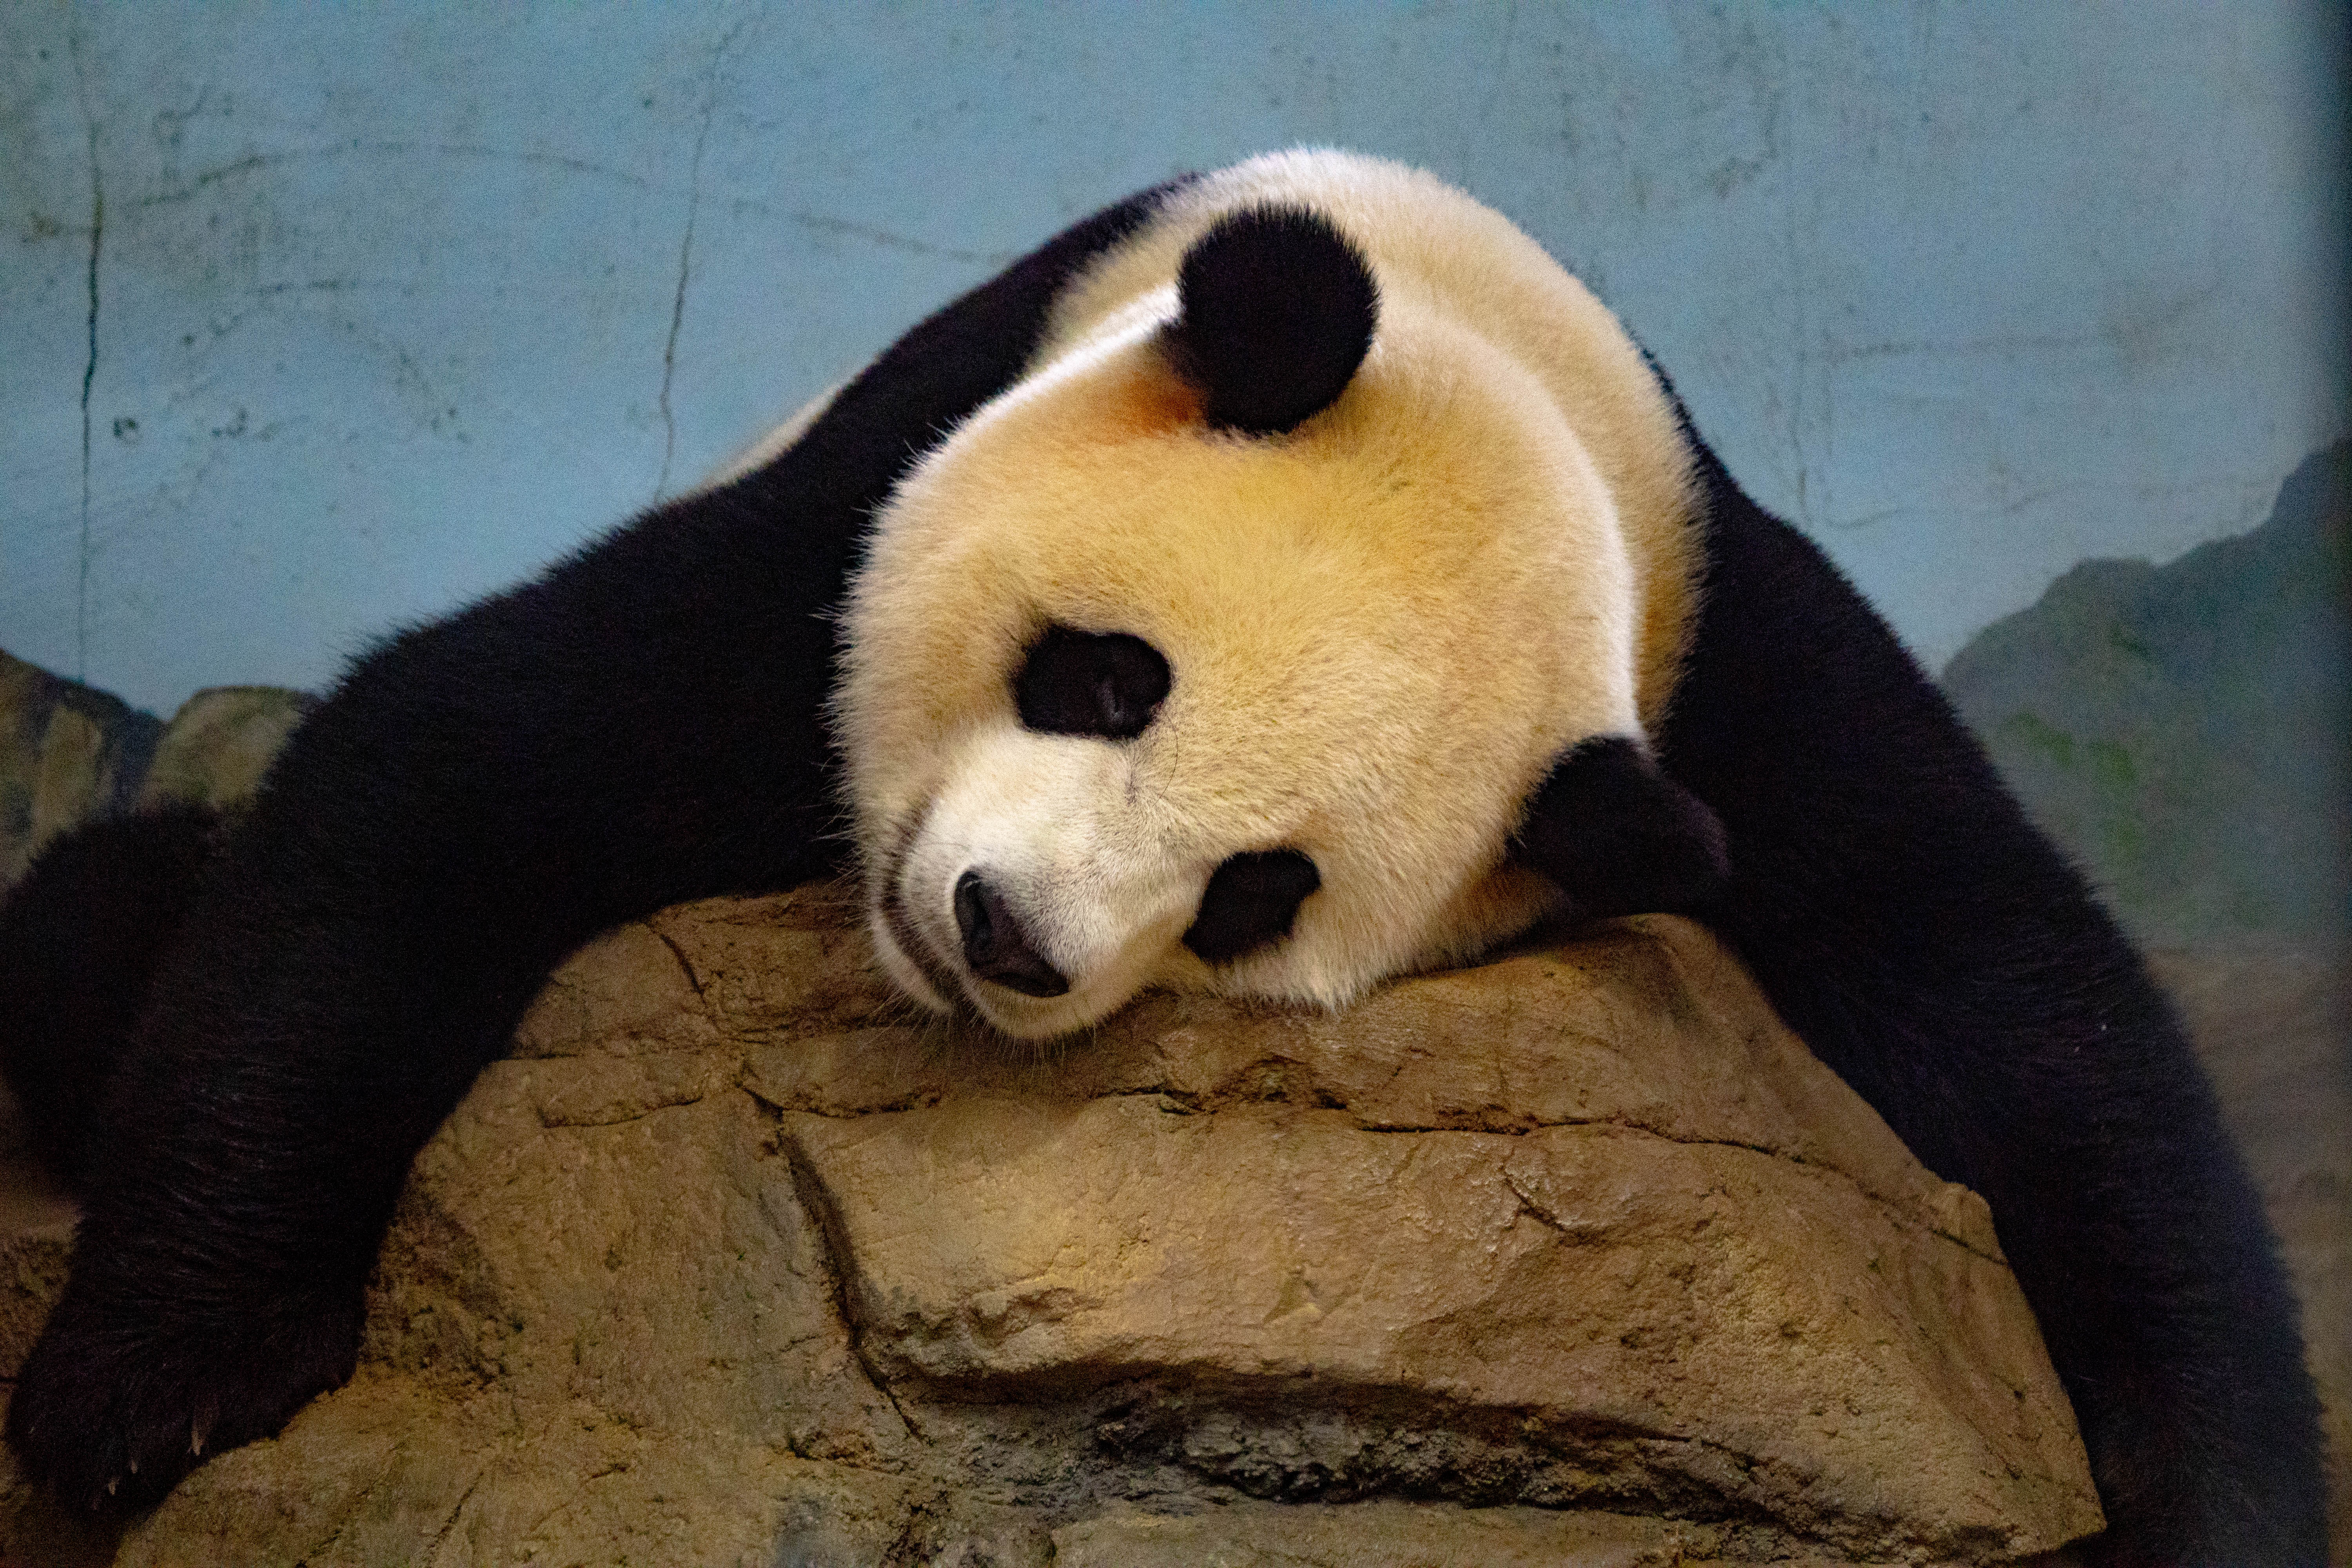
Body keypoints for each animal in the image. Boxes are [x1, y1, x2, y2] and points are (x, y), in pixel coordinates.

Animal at [0, 150, 2323, 1564]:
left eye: (1256, 891)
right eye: (1109, 677)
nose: (1000, 934)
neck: (1472, 347)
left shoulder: (1724, 660)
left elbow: (2039, 1027)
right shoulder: (872, 493)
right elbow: (465, 757)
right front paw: (154, 1383)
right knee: (115, 923)